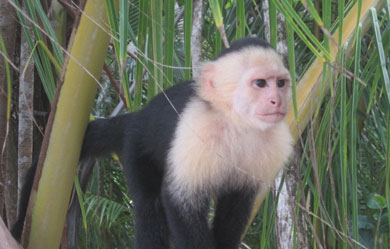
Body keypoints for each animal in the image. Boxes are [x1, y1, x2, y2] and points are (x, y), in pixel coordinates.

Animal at [80, 37, 292, 249]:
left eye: (280, 83)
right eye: (260, 83)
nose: (277, 100)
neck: (236, 122)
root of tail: (139, 116)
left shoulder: (277, 144)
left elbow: (236, 203)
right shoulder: (198, 129)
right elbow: (181, 202)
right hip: (137, 146)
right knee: (149, 204)